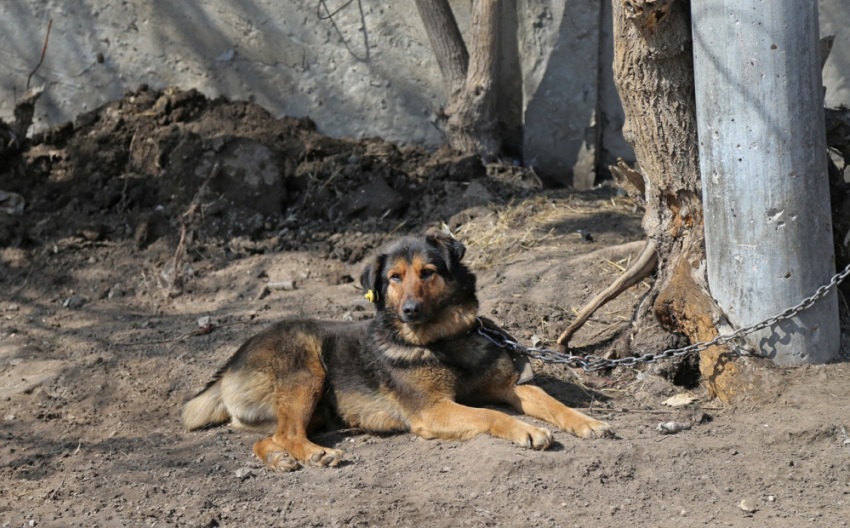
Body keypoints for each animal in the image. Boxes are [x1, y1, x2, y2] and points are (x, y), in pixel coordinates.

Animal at [184, 233, 608, 472]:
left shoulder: (511, 387)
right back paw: (315, 454)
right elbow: (491, 415)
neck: (441, 341)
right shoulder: (433, 410)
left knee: (267, 439)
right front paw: (526, 429)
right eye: (394, 278)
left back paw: (279, 459)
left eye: (428, 273)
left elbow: (551, 401)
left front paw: (586, 421)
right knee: (287, 433)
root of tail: (229, 365)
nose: (410, 310)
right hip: (307, 368)